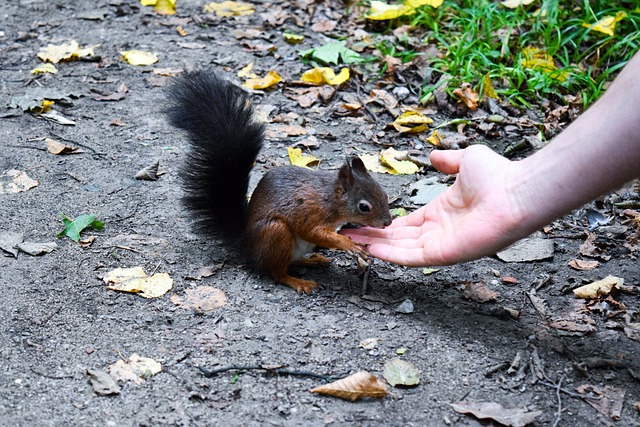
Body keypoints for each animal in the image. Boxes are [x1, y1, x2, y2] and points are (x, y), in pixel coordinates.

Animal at [165, 72, 392, 294]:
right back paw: (299, 282)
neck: (329, 199)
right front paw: (347, 244)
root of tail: (247, 248)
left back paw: (312, 260)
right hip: (276, 233)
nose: (388, 223)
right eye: (364, 207)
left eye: (385, 194)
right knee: (276, 273)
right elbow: (313, 232)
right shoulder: (309, 211)